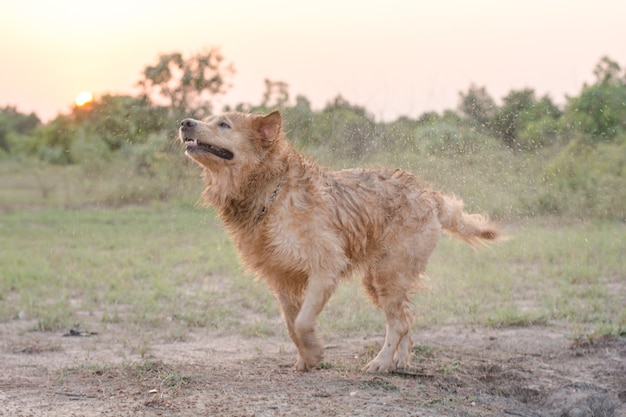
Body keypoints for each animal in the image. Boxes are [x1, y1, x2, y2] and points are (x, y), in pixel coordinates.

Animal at [178, 109, 500, 370]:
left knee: (399, 322)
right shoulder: (281, 278)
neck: (271, 192)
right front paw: (306, 358)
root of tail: (430, 194)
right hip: (378, 279)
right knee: (407, 317)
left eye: (224, 124)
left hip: (388, 274)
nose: (184, 122)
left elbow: (302, 321)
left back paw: (380, 363)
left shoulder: (326, 265)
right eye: (206, 118)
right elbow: (291, 325)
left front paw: (315, 353)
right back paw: (399, 361)